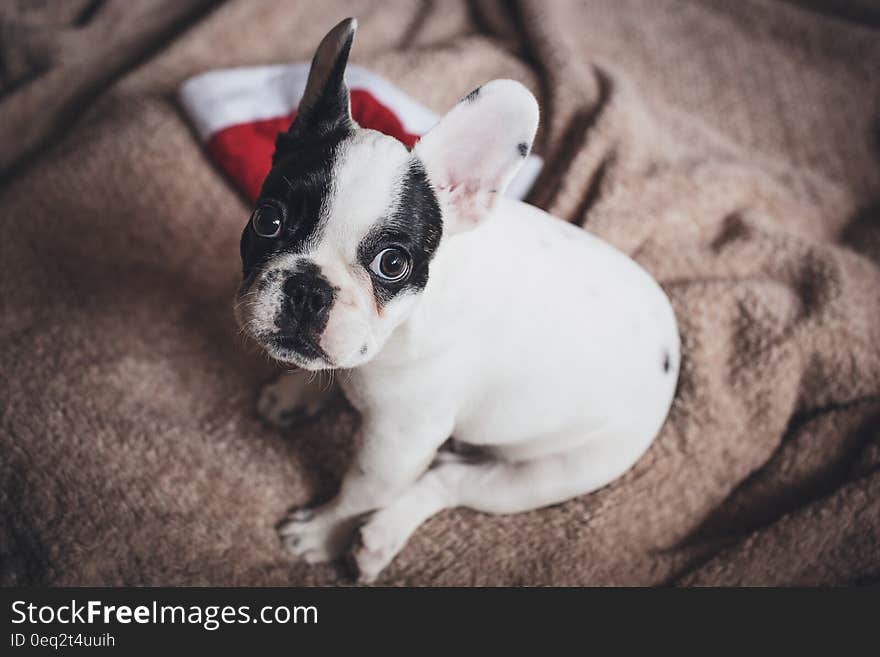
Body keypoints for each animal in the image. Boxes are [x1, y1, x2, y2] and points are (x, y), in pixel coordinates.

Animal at [234, 18, 680, 580]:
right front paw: (294, 393)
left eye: (392, 264)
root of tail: (671, 352)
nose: (310, 288)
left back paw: (379, 538)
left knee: (453, 483)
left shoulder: (398, 443)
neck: (398, 329)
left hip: (553, 473)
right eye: (267, 220)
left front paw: (321, 531)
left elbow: (359, 491)